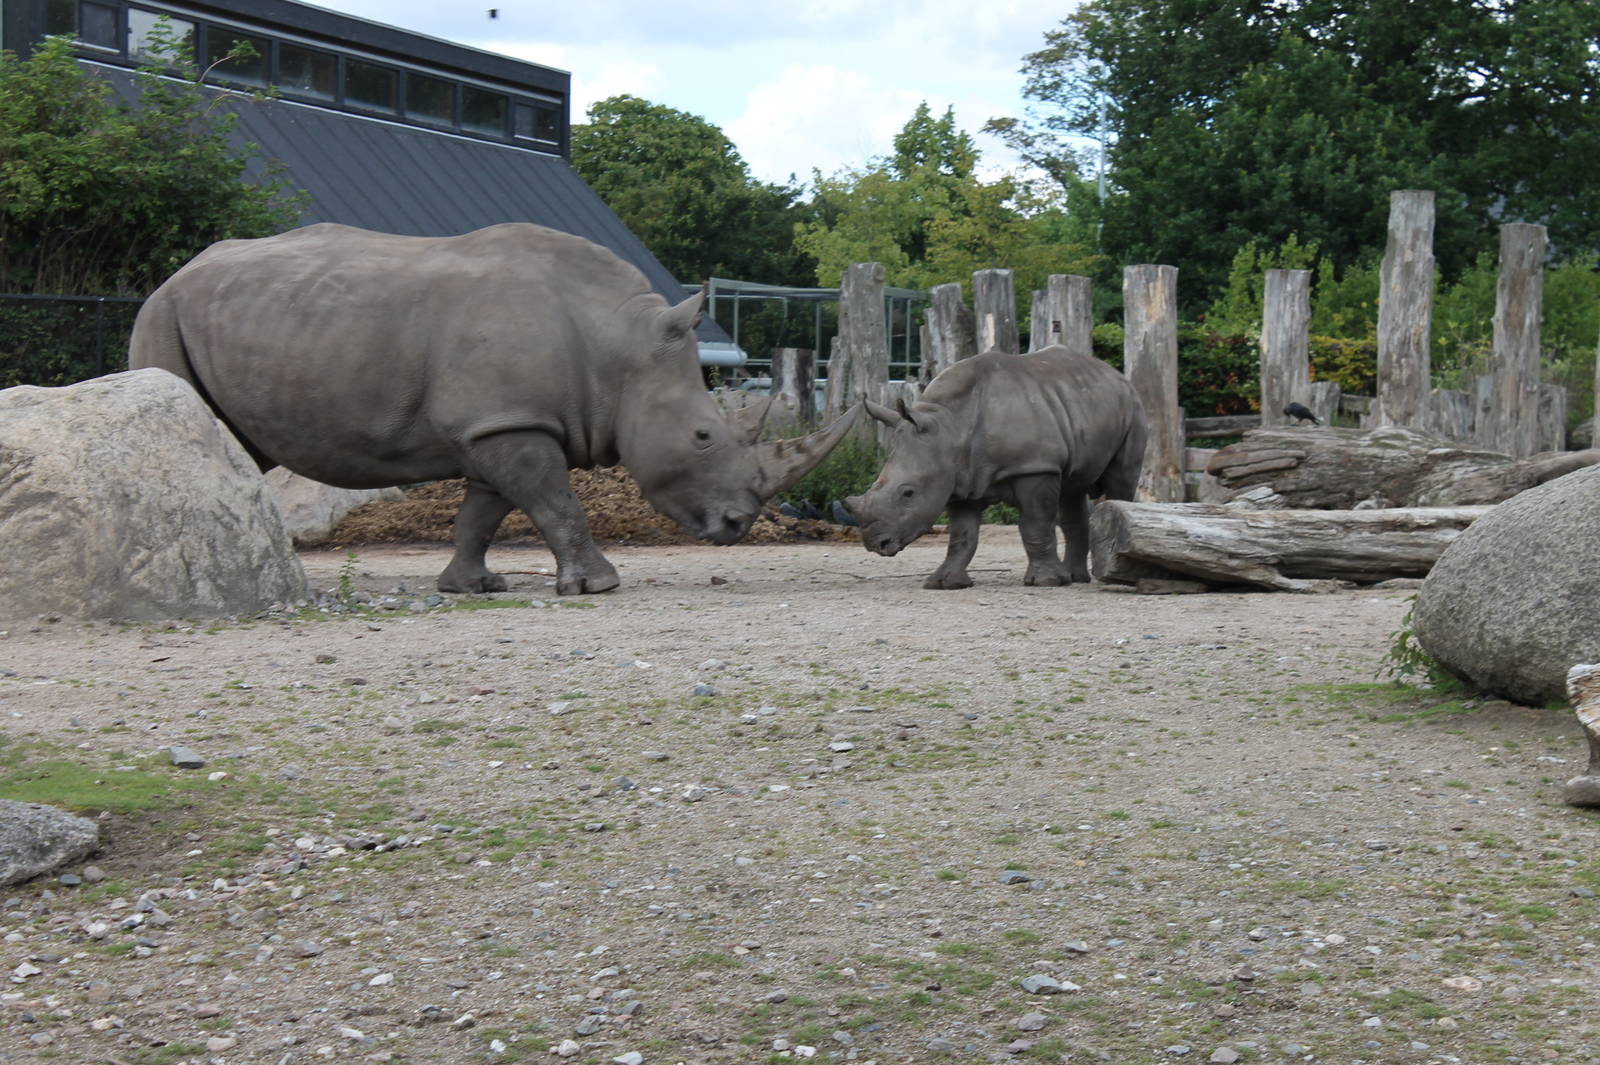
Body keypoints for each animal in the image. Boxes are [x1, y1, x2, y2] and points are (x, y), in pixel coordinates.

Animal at [129, 222, 857, 595]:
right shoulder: (509, 423)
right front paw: (599, 586)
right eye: (704, 435)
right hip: (163, 315)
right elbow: (556, 501)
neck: (616, 347)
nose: (737, 524)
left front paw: (471, 586)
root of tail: (171, 275)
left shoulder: (497, 423)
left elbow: (484, 513)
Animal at [845, 346, 1145, 589]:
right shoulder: (960, 479)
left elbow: (1036, 524)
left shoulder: (1035, 466)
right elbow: (962, 535)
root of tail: (1115, 374)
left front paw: (1046, 582)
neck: (949, 428)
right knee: (1073, 490)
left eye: (908, 493)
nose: (875, 543)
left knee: (1120, 482)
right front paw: (944, 583)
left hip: (1132, 408)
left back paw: (1111, 573)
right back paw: (1075, 578)